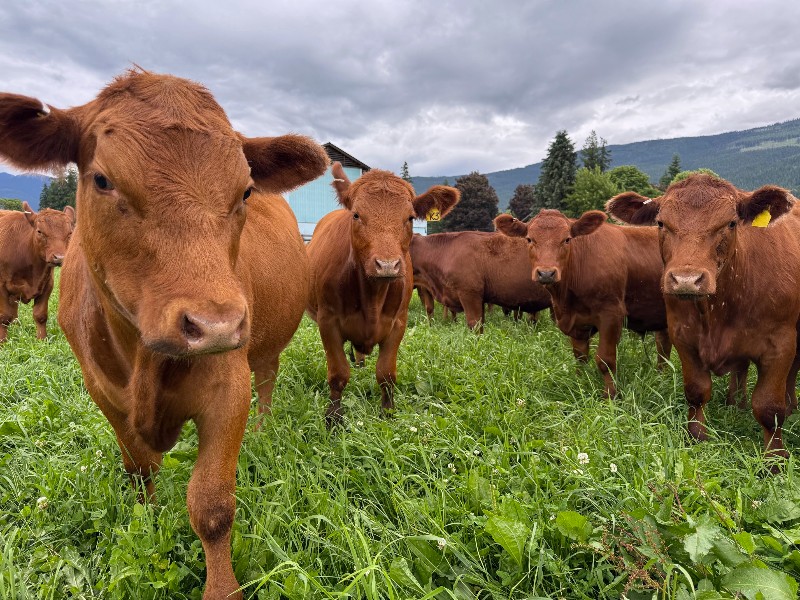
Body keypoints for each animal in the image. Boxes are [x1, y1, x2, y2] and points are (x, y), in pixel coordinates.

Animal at [0, 202, 74, 341]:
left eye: (69, 233)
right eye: (40, 231)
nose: (60, 258)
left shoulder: (47, 284)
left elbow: (40, 315)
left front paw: (42, 339)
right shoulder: (1, 286)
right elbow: (4, 317)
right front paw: (3, 341)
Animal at [307, 162, 459, 423]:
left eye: (410, 217)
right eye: (356, 215)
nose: (387, 265)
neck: (372, 297)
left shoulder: (398, 323)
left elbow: (386, 373)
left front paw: (387, 412)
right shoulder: (327, 321)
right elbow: (338, 374)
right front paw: (333, 419)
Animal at [495, 209, 670, 398]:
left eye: (567, 239)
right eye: (529, 239)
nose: (546, 273)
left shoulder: (611, 315)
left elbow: (605, 360)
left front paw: (610, 396)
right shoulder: (577, 322)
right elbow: (580, 357)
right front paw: (580, 384)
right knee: (663, 348)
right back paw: (661, 377)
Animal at [607, 174, 800, 461]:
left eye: (731, 223)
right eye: (661, 223)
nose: (686, 279)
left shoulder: (781, 342)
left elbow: (768, 407)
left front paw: (775, 460)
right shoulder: (683, 336)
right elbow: (696, 392)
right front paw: (697, 439)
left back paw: (790, 407)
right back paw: (735, 404)